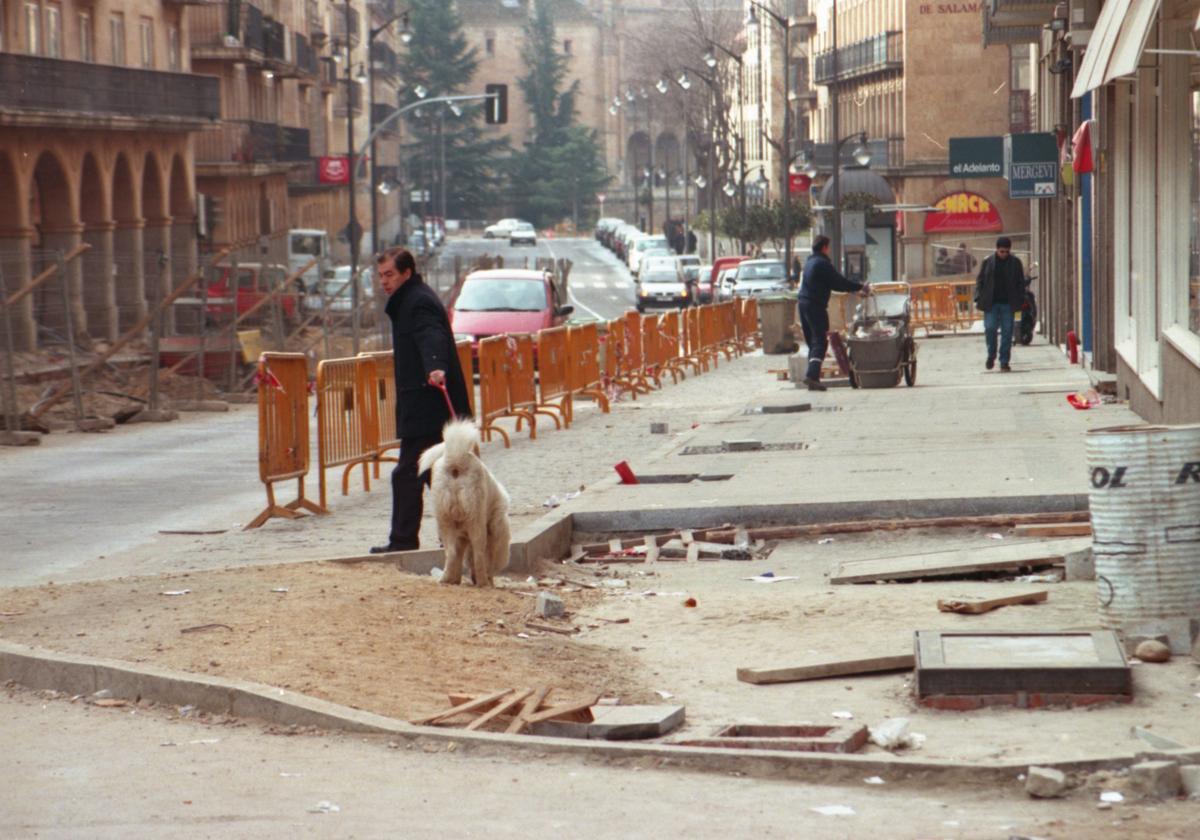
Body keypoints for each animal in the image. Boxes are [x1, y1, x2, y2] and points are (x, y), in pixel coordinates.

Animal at [417, 417, 511, 588]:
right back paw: (483, 583)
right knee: (478, 557)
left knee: (451, 554)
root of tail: (456, 459)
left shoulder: (460, 536)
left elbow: (459, 558)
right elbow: (481, 560)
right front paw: (487, 580)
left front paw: (456, 579)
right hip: (476, 523)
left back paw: (447, 580)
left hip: (444, 521)